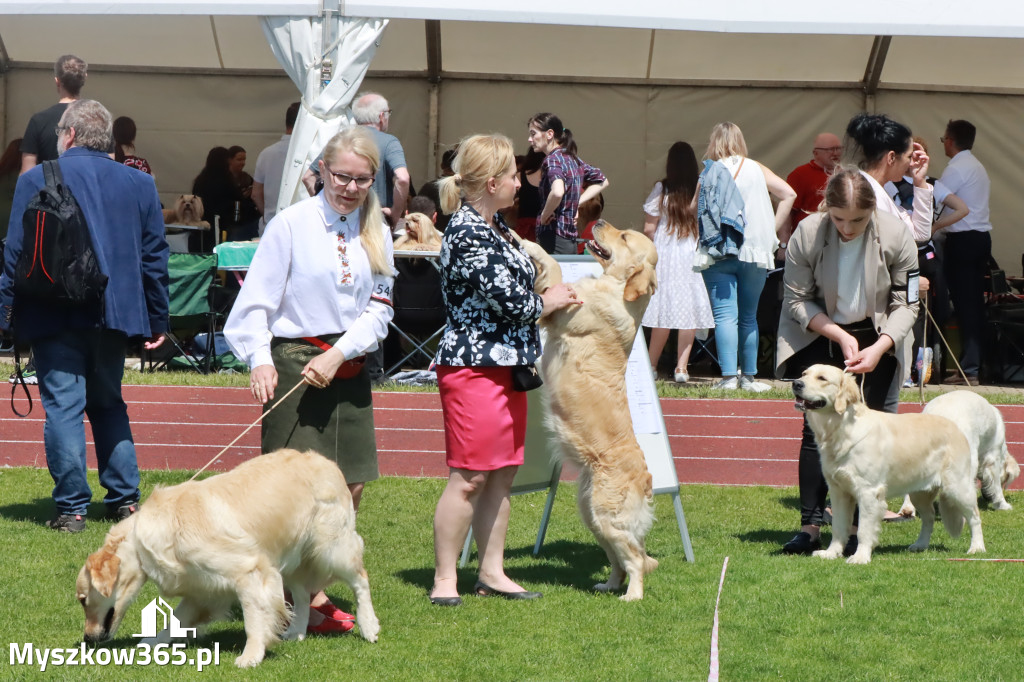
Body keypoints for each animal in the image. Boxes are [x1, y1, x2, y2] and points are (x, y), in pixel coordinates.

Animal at [790, 364, 983, 561]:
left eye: (822, 378)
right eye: (804, 374)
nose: (796, 383)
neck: (840, 428)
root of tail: (955, 427)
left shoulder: (868, 492)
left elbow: (863, 530)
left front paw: (860, 557)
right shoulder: (839, 491)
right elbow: (838, 527)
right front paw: (831, 553)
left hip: (957, 487)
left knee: (975, 517)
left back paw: (977, 548)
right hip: (919, 492)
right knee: (929, 517)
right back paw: (920, 544)